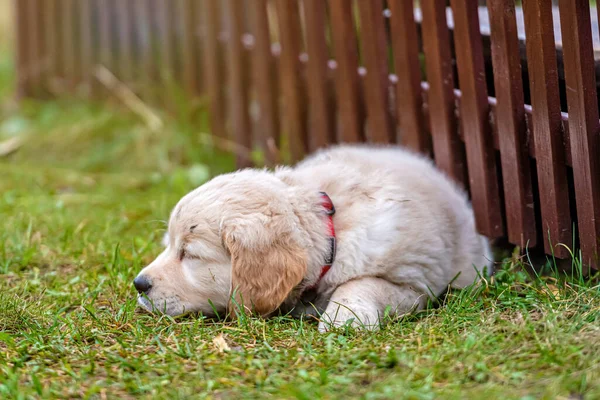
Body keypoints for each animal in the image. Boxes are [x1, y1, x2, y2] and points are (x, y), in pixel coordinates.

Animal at [135, 145, 492, 332]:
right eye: (169, 246)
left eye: (190, 255)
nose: (138, 284)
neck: (332, 231)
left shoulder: (413, 283)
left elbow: (362, 283)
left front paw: (344, 318)